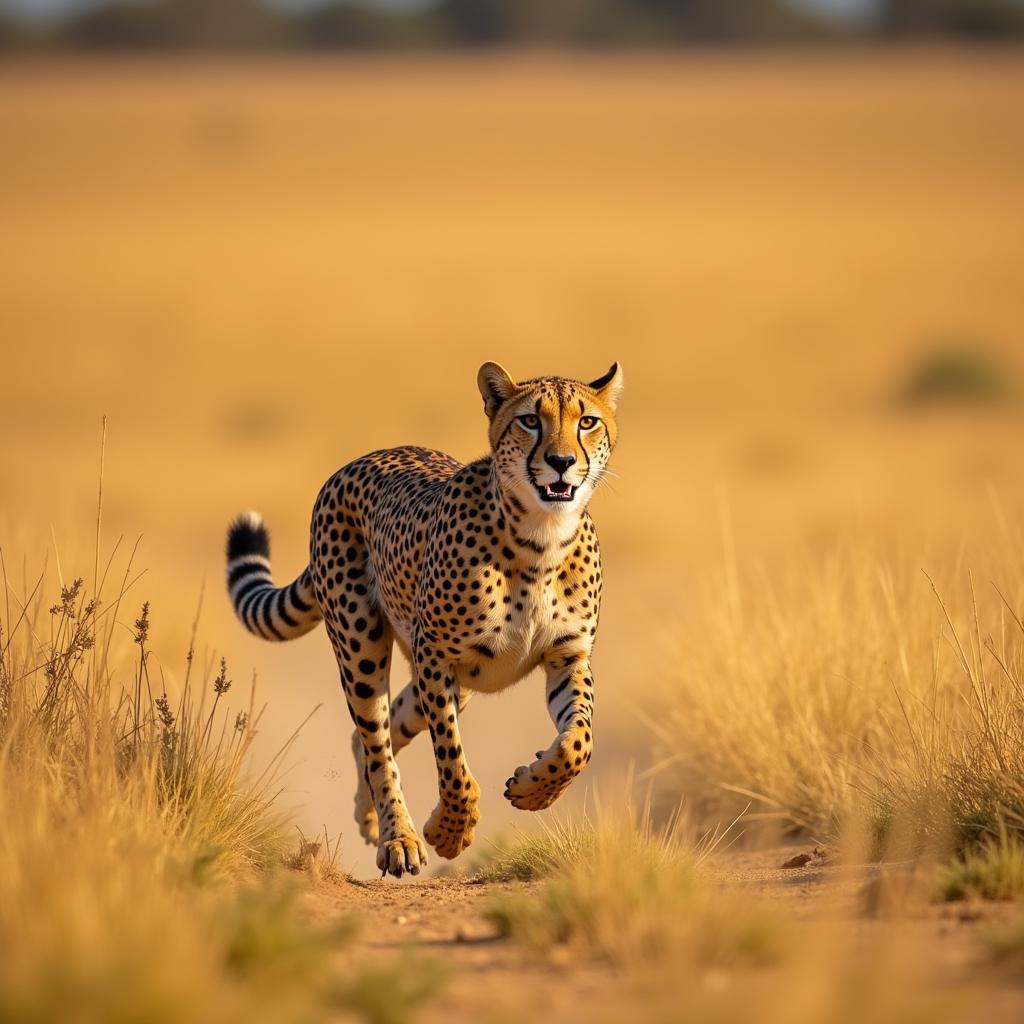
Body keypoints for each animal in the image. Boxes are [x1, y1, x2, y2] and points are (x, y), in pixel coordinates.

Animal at [227, 362, 618, 880]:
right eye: (530, 421)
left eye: (587, 422)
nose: (560, 461)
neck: (541, 538)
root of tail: (363, 459)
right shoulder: (437, 654)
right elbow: (452, 760)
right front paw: (450, 831)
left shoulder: (566, 657)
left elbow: (579, 742)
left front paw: (534, 788)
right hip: (362, 649)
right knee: (376, 743)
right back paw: (399, 838)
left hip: (449, 682)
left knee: (372, 737)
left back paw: (371, 817)